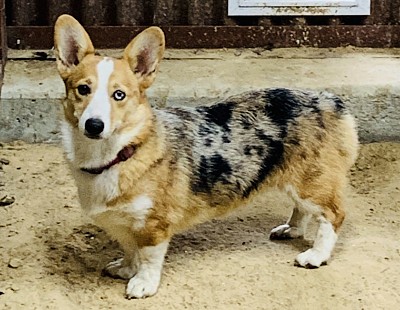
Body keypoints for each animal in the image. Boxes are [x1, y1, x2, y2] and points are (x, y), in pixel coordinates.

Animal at [54, 13, 360, 298]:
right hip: (296, 179)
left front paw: (142, 284)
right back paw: (292, 229)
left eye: (119, 95)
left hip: (312, 182)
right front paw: (126, 268)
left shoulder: (153, 225)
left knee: (333, 215)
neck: (117, 154)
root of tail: (331, 100)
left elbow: (148, 258)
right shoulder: (125, 225)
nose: (94, 125)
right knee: (303, 209)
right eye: (83, 89)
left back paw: (316, 256)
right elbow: (130, 249)